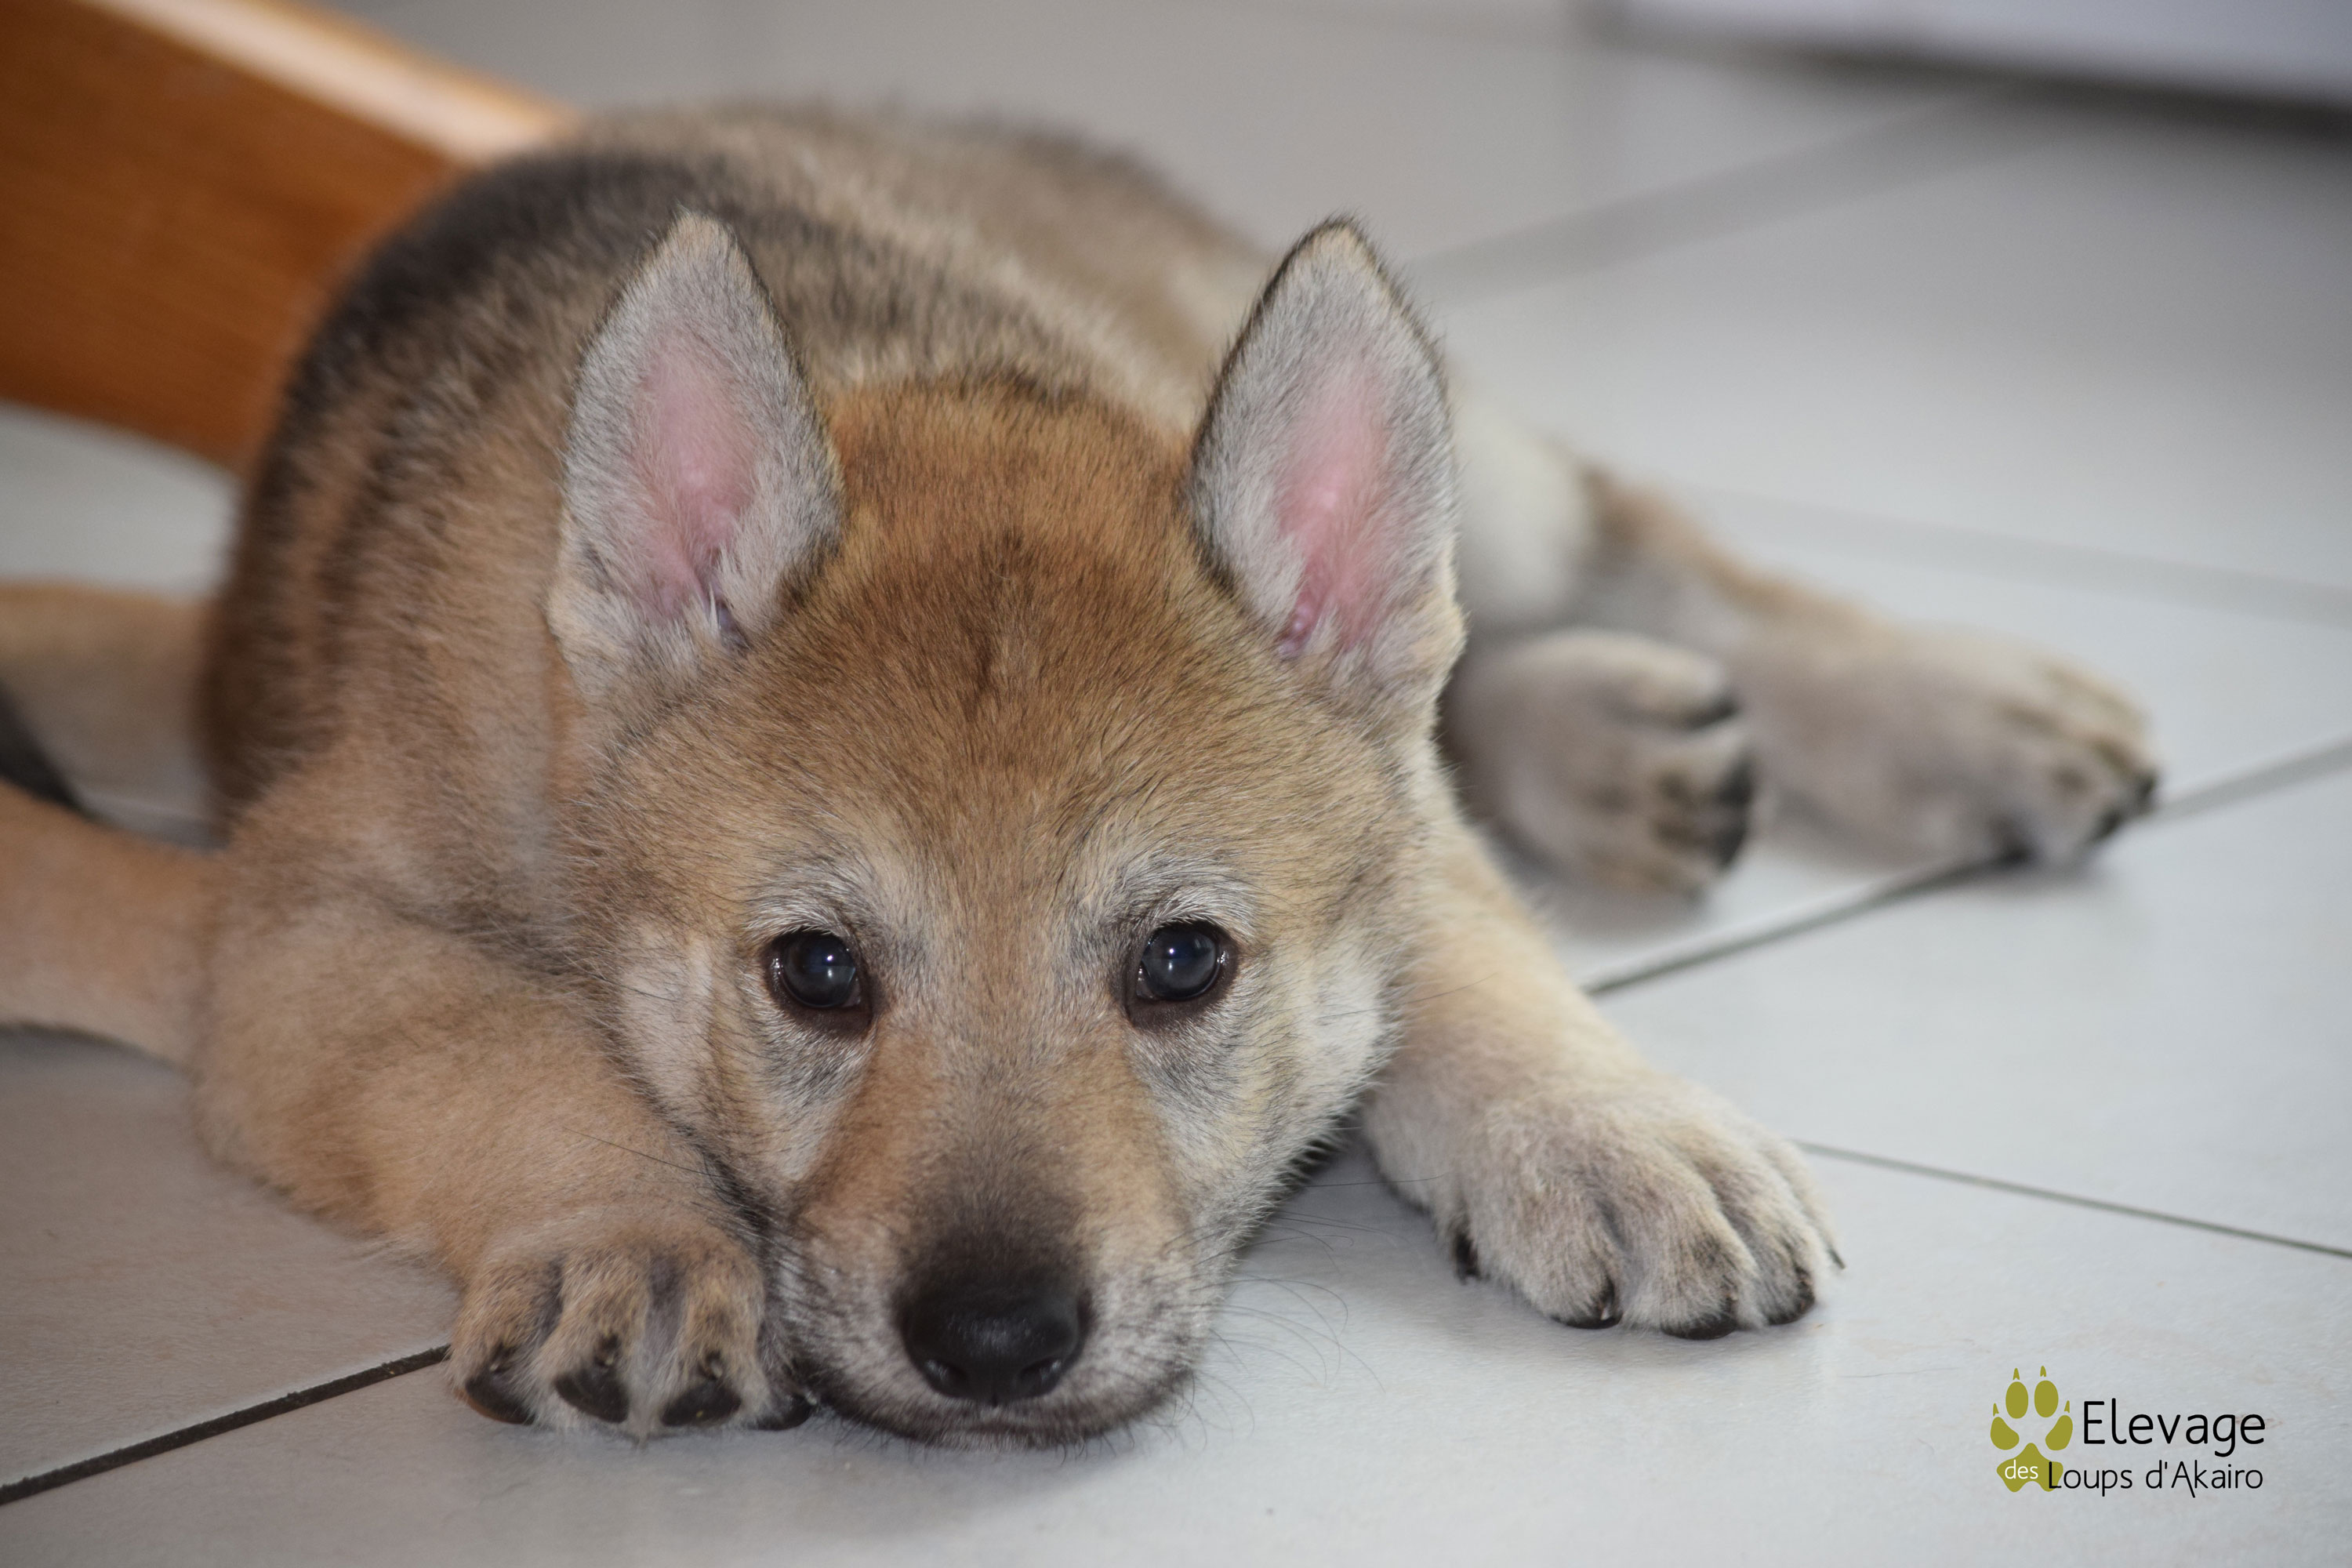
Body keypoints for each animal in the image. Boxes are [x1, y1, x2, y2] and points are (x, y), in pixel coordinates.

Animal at [0, 106, 2156, 1446]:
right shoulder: (294, 941)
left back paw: (1962, 710)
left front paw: (1618, 1136)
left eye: (1181, 964)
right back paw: (1631, 737)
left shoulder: (1397, 850)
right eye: (815, 975)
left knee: (1660, 553)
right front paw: (633, 1235)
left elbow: (1470, 964)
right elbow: (509, 1050)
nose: (994, 1345)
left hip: (1482, 487)